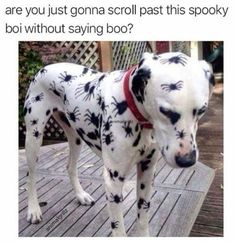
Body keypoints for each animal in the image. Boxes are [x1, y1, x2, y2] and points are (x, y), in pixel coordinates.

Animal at [23, 51, 214, 236]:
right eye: (165, 111)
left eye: (202, 110)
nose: (187, 160)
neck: (134, 112)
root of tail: (45, 68)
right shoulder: (113, 182)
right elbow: (119, 230)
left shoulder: (146, 174)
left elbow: (143, 219)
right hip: (33, 139)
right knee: (30, 177)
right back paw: (33, 210)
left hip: (75, 139)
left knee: (70, 167)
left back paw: (80, 195)